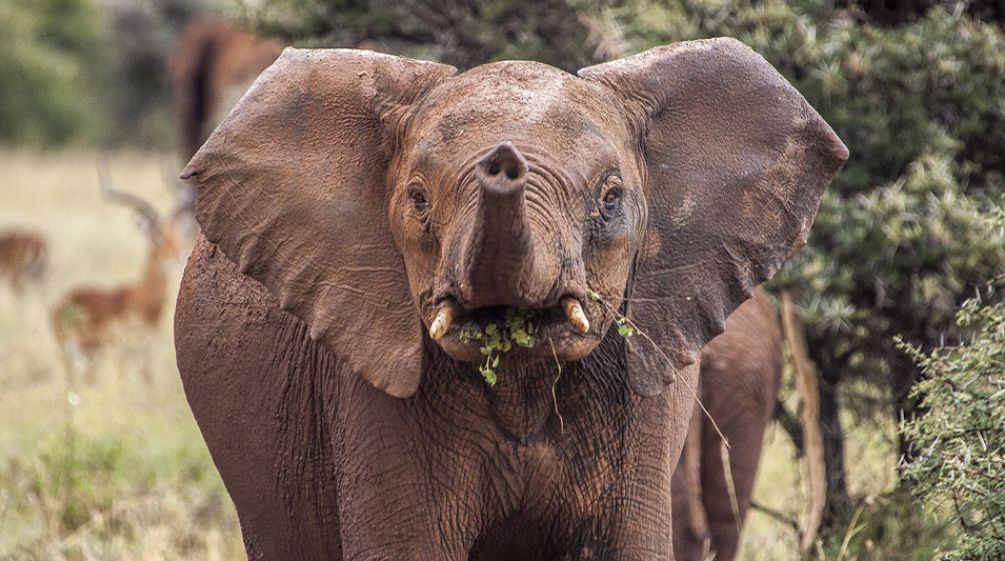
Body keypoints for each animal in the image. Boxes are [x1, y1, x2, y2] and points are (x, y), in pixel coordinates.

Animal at [52, 155, 180, 380]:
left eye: (176, 235)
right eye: (157, 239)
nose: (177, 255)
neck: (143, 301)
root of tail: (60, 304)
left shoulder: (147, 352)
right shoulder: (119, 351)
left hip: (91, 358)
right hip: (70, 355)